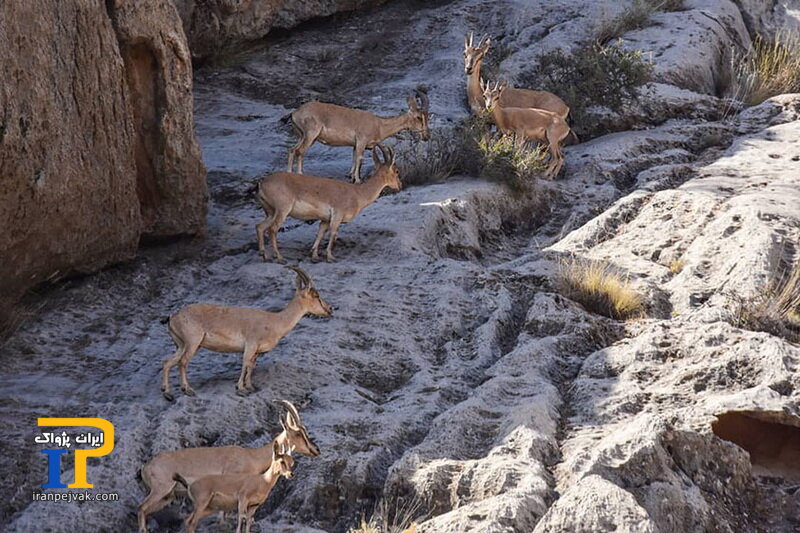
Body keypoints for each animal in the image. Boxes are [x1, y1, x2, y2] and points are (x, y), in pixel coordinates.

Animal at [138, 402, 316, 528]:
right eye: (298, 433)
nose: (316, 450)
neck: (250, 456)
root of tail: (145, 467)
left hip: (166, 497)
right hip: (161, 490)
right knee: (141, 508)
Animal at [260, 144, 404, 262]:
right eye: (396, 171)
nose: (400, 185)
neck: (357, 194)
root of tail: (262, 184)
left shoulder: (325, 219)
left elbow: (320, 234)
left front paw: (315, 255)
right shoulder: (337, 215)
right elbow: (333, 233)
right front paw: (330, 257)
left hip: (271, 212)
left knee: (260, 227)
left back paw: (265, 255)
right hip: (282, 210)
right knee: (272, 229)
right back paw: (279, 257)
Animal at [284, 90, 428, 182]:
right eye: (418, 117)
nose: (426, 136)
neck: (379, 124)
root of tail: (295, 113)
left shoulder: (355, 144)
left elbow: (354, 158)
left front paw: (352, 176)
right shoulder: (361, 141)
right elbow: (360, 159)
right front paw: (358, 180)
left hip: (303, 136)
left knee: (292, 150)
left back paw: (289, 173)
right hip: (310, 135)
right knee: (300, 151)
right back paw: (300, 174)